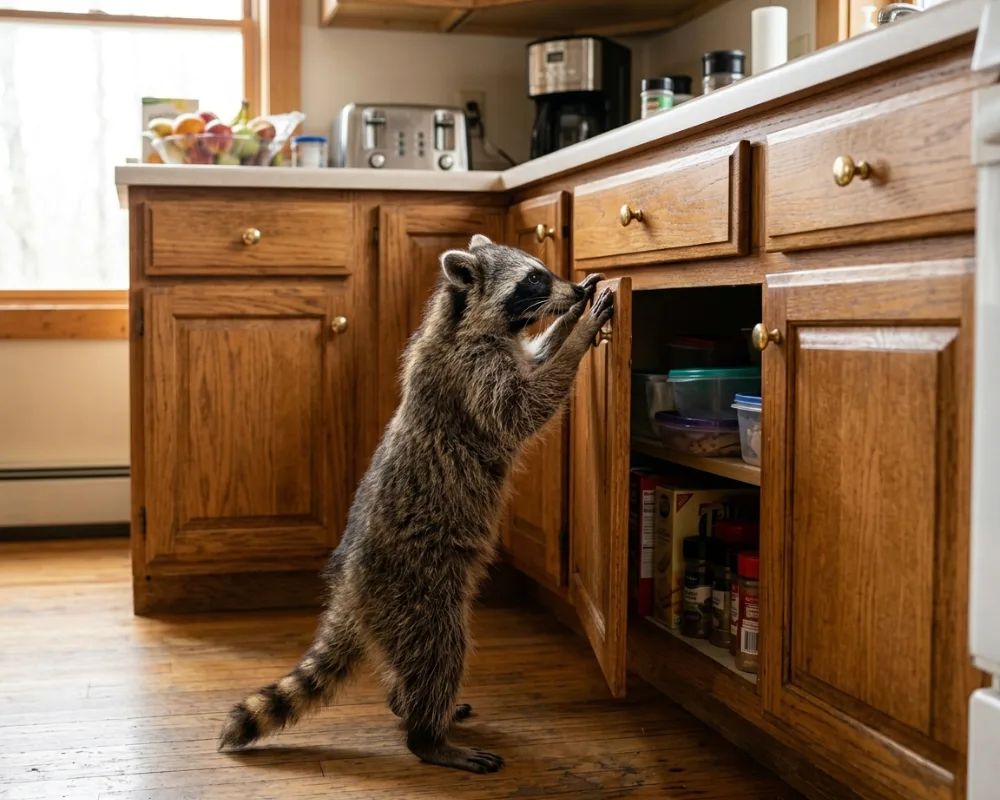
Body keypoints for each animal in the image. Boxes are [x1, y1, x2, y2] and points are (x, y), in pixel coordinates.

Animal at [219, 234, 614, 774]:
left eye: (545, 270)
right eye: (533, 279)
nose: (572, 289)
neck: (460, 317)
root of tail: (350, 590)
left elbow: (533, 360)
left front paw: (566, 321)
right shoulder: (471, 373)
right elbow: (521, 408)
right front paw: (580, 334)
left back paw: (406, 705)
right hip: (416, 591)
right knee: (438, 651)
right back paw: (427, 735)